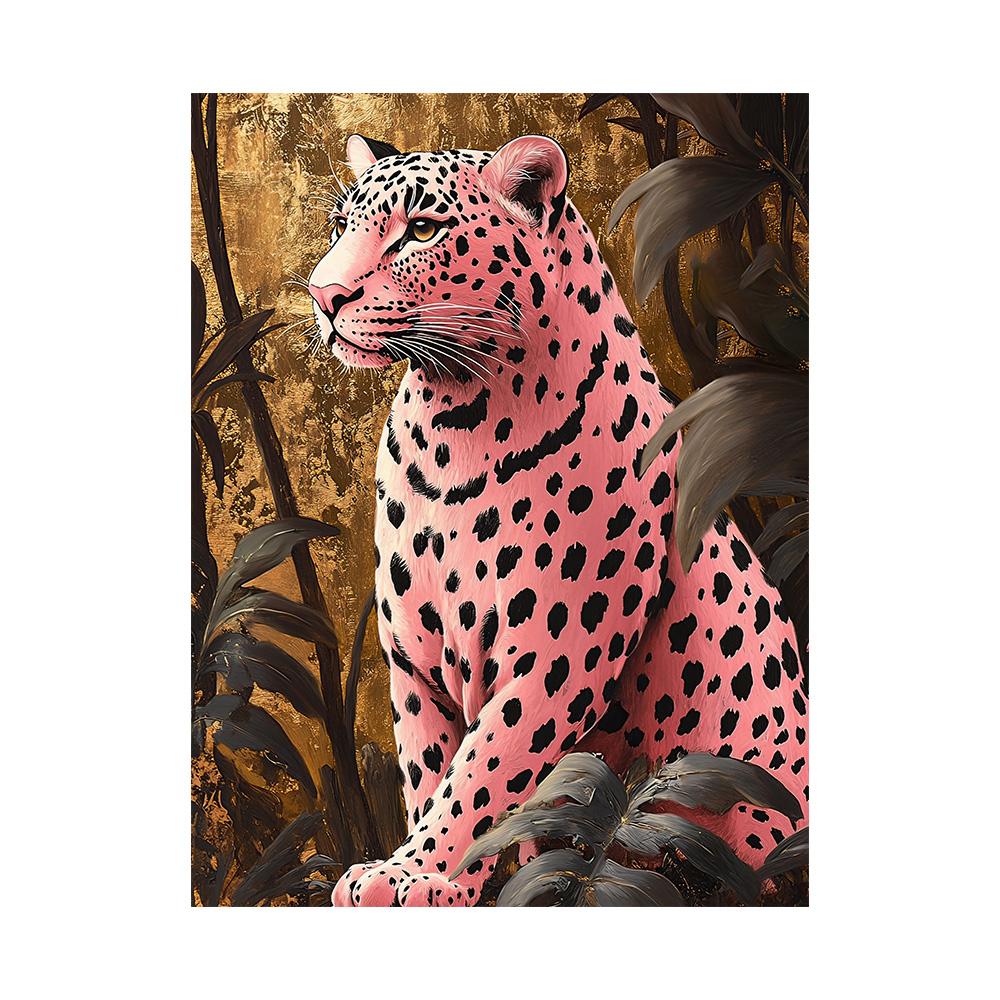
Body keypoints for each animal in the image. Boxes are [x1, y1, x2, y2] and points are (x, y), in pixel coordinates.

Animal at [304, 133, 809, 906]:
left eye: (420, 230)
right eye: (339, 227)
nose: (323, 295)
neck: (452, 428)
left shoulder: (554, 653)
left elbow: (483, 772)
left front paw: (414, 874)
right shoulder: (413, 660)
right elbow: (432, 768)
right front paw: (431, 875)